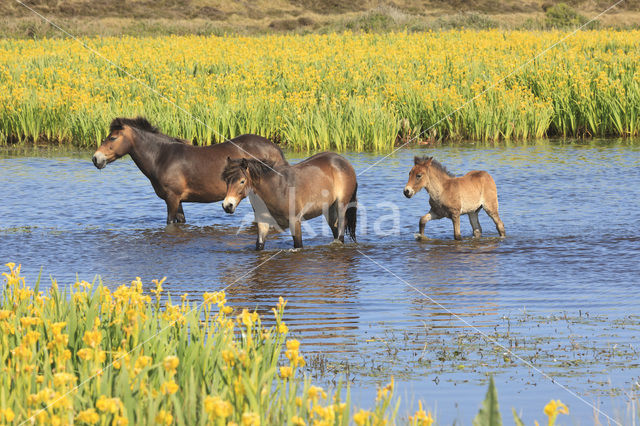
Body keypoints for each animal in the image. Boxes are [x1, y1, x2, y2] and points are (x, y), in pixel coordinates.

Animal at [91, 116, 286, 223]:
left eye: (113, 138)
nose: (96, 158)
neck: (162, 156)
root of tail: (275, 148)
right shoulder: (178, 200)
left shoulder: (172, 199)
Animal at [222, 152, 358, 250]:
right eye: (226, 180)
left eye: (242, 181)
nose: (227, 205)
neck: (276, 189)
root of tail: (344, 162)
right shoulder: (263, 222)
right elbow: (259, 245)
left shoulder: (295, 221)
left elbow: (298, 245)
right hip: (329, 210)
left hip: (341, 205)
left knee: (341, 230)